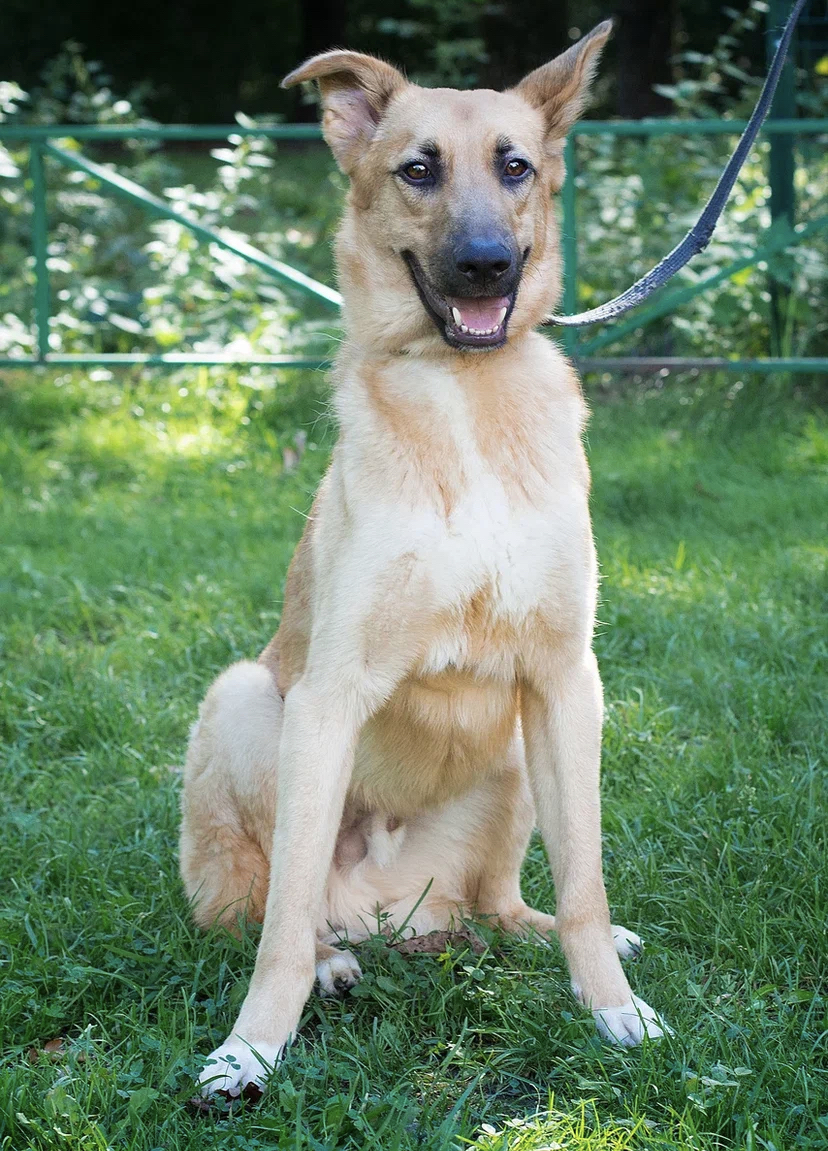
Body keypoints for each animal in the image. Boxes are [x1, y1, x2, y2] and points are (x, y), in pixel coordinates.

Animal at [179, 20, 667, 1095]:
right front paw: (250, 1046)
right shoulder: (326, 698)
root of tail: (397, 910)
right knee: (269, 908)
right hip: (248, 702)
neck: (465, 404)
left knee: (505, 898)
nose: (485, 266)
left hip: (524, 752)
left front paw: (612, 1004)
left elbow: (586, 879)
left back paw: (542, 933)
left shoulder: (567, 681)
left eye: (515, 166)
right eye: (418, 170)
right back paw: (333, 960)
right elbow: (279, 931)